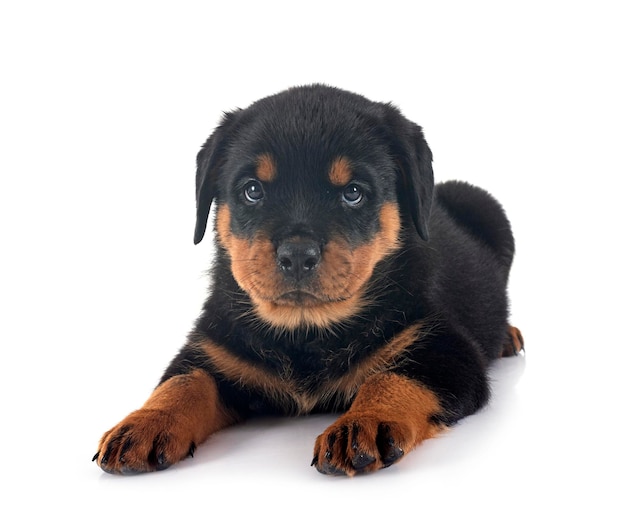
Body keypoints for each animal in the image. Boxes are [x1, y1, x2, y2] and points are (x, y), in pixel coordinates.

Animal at [92, 84, 520, 476]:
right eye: (252, 190)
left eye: (353, 193)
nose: (297, 255)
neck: (305, 331)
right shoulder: (211, 347)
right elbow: (182, 382)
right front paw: (144, 423)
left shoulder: (445, 349)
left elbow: (393, 378)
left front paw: (362, 423)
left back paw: (508, 336)